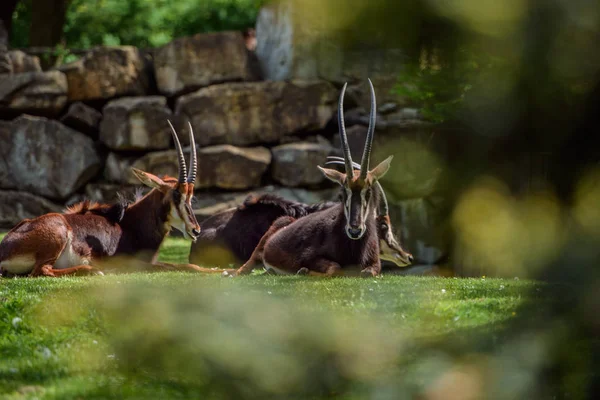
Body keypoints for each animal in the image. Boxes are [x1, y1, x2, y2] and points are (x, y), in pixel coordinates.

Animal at [0, 121, 209, 278]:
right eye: (176, 194)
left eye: (191, 196)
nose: (196, 230)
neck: (131, 223)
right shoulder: (134, 263)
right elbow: (183, 266)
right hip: (57, 233)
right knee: (41, 270)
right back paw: (94, 270)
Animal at [227, 79, 396, 276]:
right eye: (342, 194)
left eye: (368, 192)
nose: (354, 230)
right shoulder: (310, 256)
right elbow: (334, 267)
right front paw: (304, 270)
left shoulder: (375, 263)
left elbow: (369, 271)